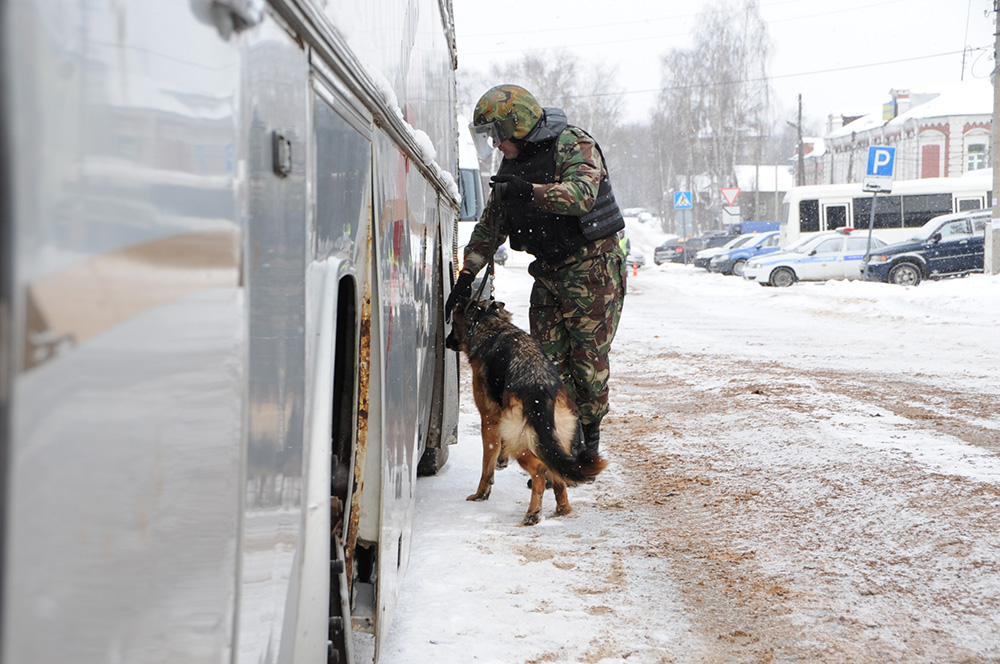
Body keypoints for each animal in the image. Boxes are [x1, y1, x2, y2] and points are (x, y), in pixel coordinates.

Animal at [448, 300, 608, 524]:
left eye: (452, 323)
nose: (447, 341)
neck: (490, 324)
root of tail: (540, 389)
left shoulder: (489, 419)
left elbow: (486, 463)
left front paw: (481, 493)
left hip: (520, 441)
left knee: (540, 469)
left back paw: (533, 513)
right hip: (555, 437)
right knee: (557, 474)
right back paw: (562, 508)